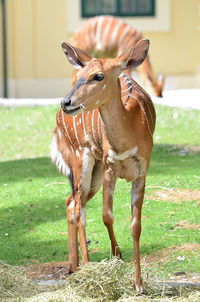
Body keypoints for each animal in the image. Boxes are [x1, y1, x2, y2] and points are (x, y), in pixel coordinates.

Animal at [50, 38, 156, 292]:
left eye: (98, 76)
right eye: (80, 74)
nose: (67, 102)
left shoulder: (141, 172)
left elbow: (135, 225)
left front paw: (138, 284)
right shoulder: (110, 167)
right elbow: (107, 216)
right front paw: (116, 256)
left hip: (93, 174)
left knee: (69, 201)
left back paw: (73, 266)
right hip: (81, 160)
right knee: (78, 207)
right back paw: (85, 266)